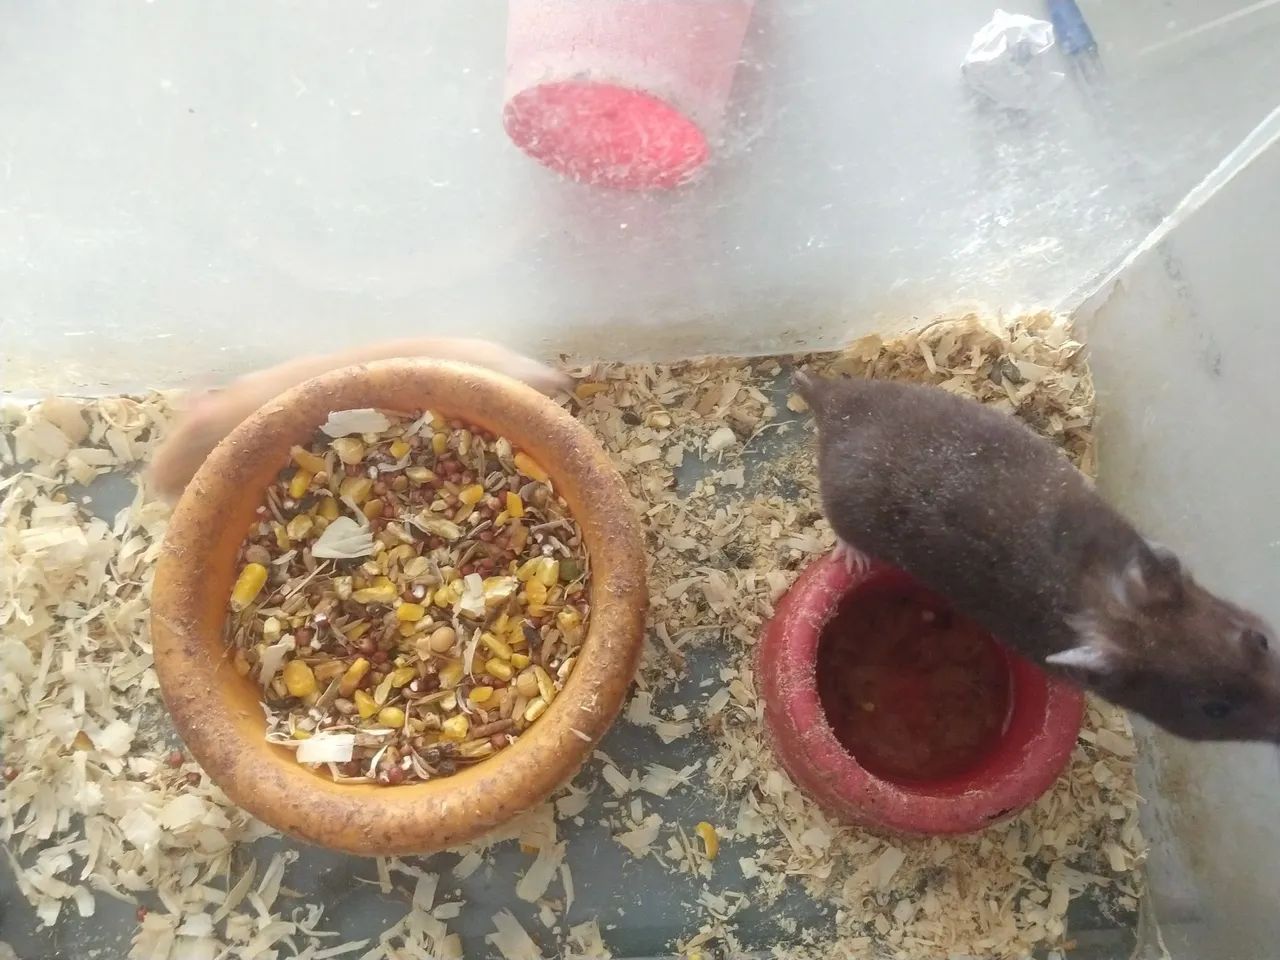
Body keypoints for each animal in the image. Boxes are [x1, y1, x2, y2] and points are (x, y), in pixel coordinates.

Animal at [794, 370, 1280, 744]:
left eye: (1260, 639)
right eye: (1213, 709)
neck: (1101, 598)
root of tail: (832, 403)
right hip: (846, 504)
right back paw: (853, 556)